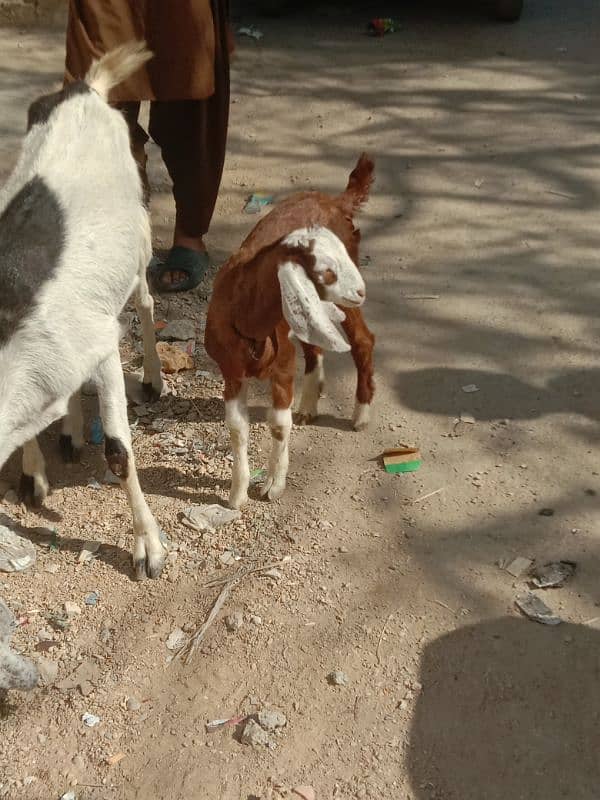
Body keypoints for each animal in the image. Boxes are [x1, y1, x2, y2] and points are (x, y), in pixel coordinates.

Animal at [0, 43, 164, 580]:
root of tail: (86, 87)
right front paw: (34, 475)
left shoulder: (102, 346)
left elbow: (119, 451)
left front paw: (148, 548)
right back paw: (69, 432)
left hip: (138, 234)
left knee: (146, 301)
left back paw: (153, 380)